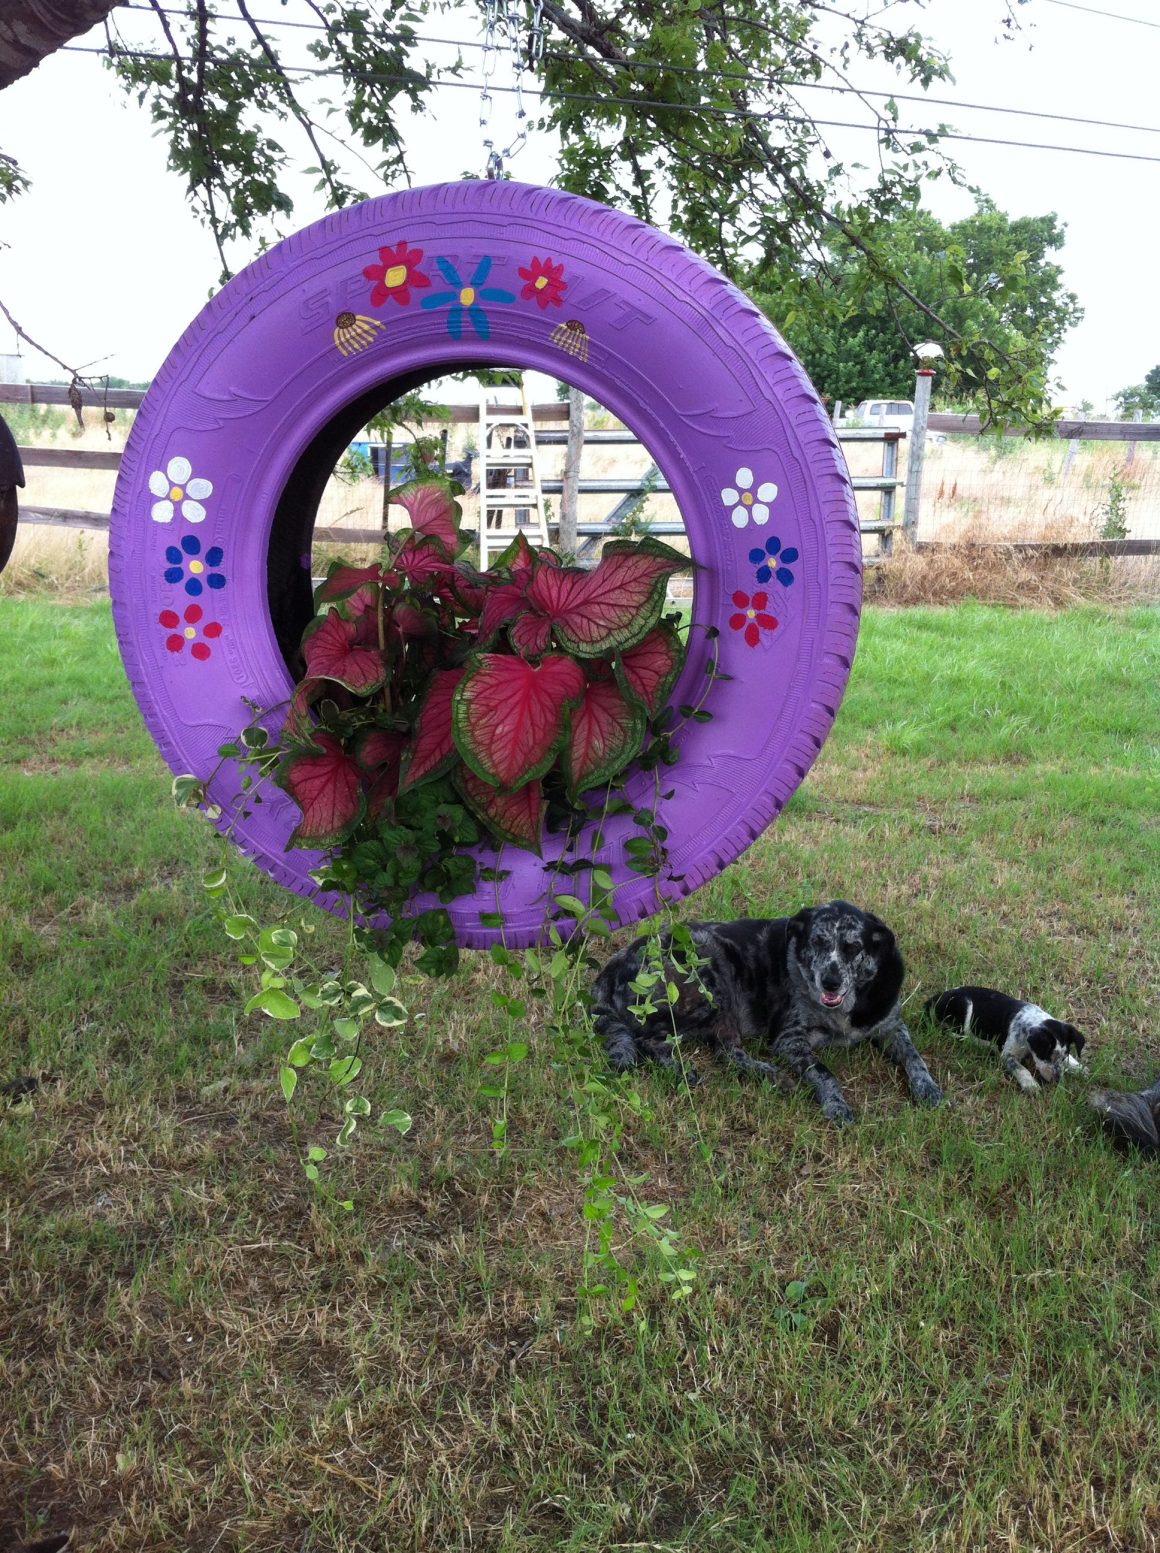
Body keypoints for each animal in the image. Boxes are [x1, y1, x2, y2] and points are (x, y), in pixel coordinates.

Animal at [590, 900, 944, 1130]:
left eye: (853, 947)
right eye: (818, 941)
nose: (829, 981)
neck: (845, 1009)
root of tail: (613, 964)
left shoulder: (891, 1027)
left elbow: (914, 1057)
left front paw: (928, 1089)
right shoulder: (790, 1039)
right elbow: (824, 1071)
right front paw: (836, 1104)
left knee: (725, 1050)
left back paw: (769, 1076)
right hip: (709, 973)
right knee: (650, 1040)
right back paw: (685, 1070)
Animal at [925, 981, 1087, 1093]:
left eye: (1063, 1057)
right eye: (1046, 1055)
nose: (1057, 1080)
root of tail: (934, 998)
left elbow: (1071, 1061)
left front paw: (1080, 1068)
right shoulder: (1008, 1055)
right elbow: (1021, 1069)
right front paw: (1031, 1085)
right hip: (963, 1006)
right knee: (953, 1032)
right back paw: (981, 1043)